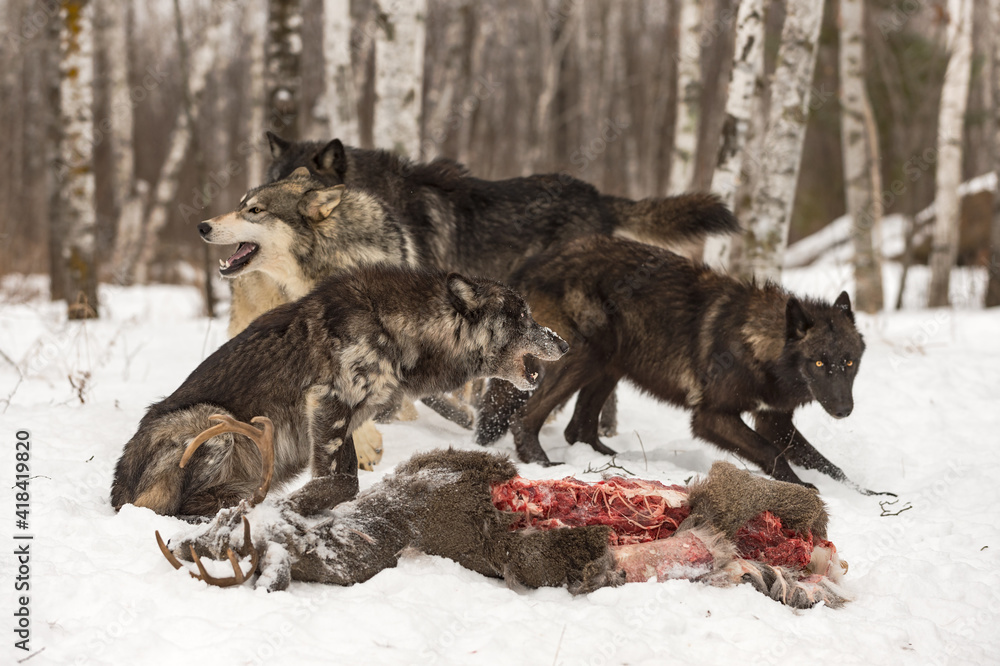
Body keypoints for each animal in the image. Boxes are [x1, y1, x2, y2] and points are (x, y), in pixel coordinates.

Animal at [110, 265, 568, 517]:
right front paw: (304, 506)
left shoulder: (345, 420)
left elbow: (348, 479)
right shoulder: (328, 404)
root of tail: (119, 492)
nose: (564, 344)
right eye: (521, 316)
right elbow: (340, 481)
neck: (397, 328)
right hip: (215, 424)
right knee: (177, 507)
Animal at [479, 235, 888, 495]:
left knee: (578, 428)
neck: (757, 345)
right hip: (585, 357)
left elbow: (829, 464)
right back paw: (545, 465)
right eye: (819, 362)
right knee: (525, 417)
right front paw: (803, 487)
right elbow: (771, 452)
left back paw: (609, 460)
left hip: (610, 364)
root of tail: (535, 262)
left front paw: (868, 494)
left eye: (848, 362)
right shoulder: (711, 417)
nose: (844, 410)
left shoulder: (774, 419)